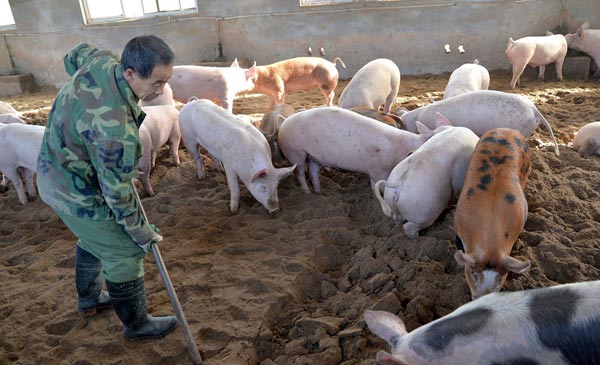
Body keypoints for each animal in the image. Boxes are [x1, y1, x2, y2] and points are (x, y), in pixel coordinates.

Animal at [278, 106, 448, 195]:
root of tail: (284, 123)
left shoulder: (373, 169)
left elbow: (373, 185)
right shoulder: (379, 169)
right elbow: (379, 185)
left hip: (313, 155)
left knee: (313, 172)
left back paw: (319, 193)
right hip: (295, 152)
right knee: (300, 172)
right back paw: (307, 193)